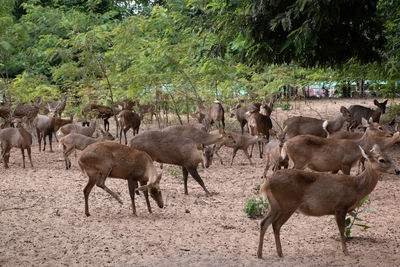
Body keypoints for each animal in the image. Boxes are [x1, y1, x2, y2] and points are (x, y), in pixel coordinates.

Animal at [256, 146, 400, 258]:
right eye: (381, 160)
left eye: (389, 157)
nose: (397, 170)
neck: (356, 187)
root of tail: (267, 183)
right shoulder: (340, 206)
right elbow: (342, 230)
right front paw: (346, 251)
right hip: (288, 203)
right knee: (275, 224)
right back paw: (279, 253)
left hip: (275, 205)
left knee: (264, 222)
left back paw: (260, 254)